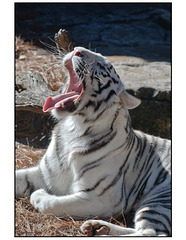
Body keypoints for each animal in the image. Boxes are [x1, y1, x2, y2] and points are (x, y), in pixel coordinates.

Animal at [16, 46, 171, 236]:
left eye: (103, 66)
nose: (77, 50)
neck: (75, 128)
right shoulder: (46, 173)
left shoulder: (102, 197)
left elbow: (51, 203)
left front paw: (39, 195)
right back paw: (98, 227)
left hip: (160, 198)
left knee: (151, 232)